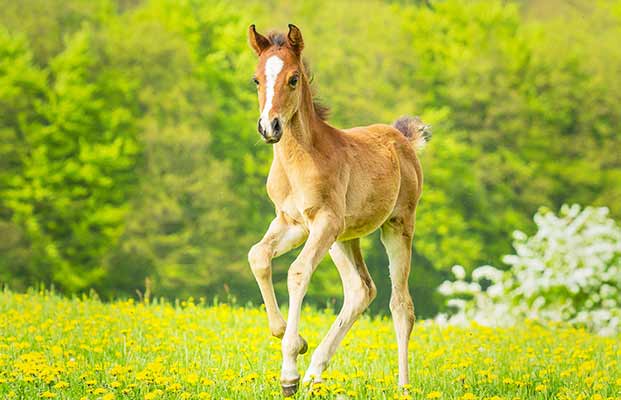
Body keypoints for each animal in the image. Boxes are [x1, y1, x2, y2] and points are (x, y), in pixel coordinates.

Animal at [247, 25, 432, 396]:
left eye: (293, 78)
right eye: (256, 80)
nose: (269, 128)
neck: (299, 160)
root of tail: (402, 138)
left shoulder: (324, 222)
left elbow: (297, 272)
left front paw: (288, 372)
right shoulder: (292, 222)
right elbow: (257, 256)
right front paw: (295, 340)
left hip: (397, 226)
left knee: (401, 305)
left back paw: (402, 386)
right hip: (344, 238)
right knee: (361, 290)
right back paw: (314, 372)